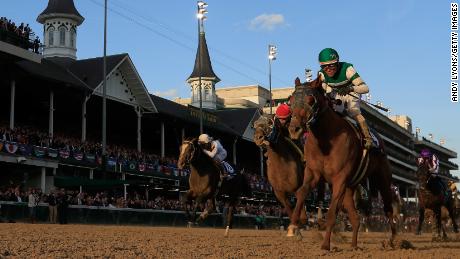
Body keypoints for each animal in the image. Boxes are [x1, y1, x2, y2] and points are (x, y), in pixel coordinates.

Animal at [288, 77, 396, 252]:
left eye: (311, 100)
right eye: (290, 101)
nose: (294, 129)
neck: (326, 139)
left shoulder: (340, 178)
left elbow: (332, 212)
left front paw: (326, 245)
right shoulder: (313, 172)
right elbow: (301, 192)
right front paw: (293, 226)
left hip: (382, 180)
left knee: (388, 209)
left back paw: (392, 241)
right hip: (350, 188)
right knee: (355, 218)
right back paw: (354, 245)